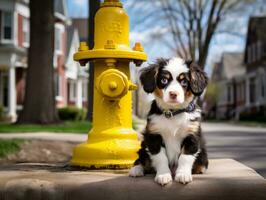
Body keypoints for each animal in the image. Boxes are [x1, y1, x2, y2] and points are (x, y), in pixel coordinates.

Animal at [129, 57, 208, 186]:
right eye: (164, 80)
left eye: (184, 82)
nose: (173, 94)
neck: (172, 113)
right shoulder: (154, 136)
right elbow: (161, 158)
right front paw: (163, 175)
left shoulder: (192, 136)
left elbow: (185, 157)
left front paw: (183, 175)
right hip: (144, 143)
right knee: (142, 158)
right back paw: (136, 169)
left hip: (203, 154)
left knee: (201, 166)